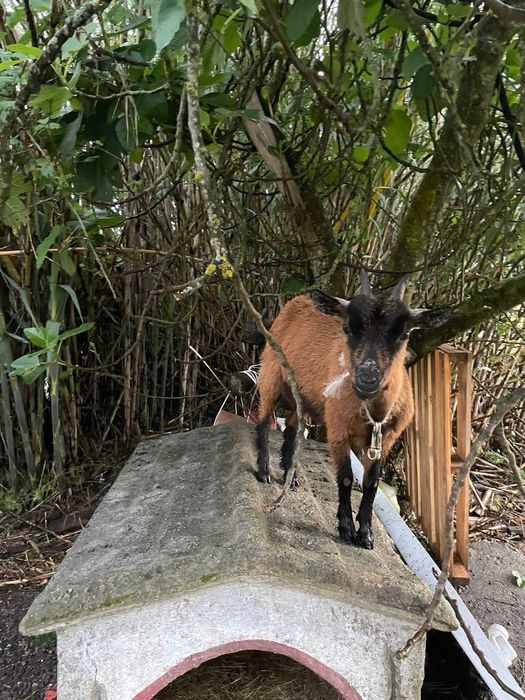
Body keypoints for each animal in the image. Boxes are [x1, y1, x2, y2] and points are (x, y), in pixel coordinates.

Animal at [256, 270, 448, 549]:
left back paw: (291, 476)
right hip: (270, 373)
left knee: (293, 425)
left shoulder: (385, 440)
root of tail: (297, 300)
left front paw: (366, 533)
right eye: (347, 328)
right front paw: (346, 528)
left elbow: (372, 483)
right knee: (262, 419)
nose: (367, 377)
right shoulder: (338, 430)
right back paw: (263, 471)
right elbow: (346, 477)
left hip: (302, 396)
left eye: (404, 334)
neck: (374, 414)